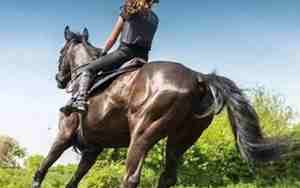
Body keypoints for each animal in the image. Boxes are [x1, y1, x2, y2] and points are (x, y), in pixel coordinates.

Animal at [32, 26, 298, 188]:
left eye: (61, 52)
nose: (59, 79)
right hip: (182, 138)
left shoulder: (64, 136)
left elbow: (42, 169)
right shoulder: (93, 149)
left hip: (142, 134)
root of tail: (197, 77)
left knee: (131, 177)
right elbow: (74, 180)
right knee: (168, 176)